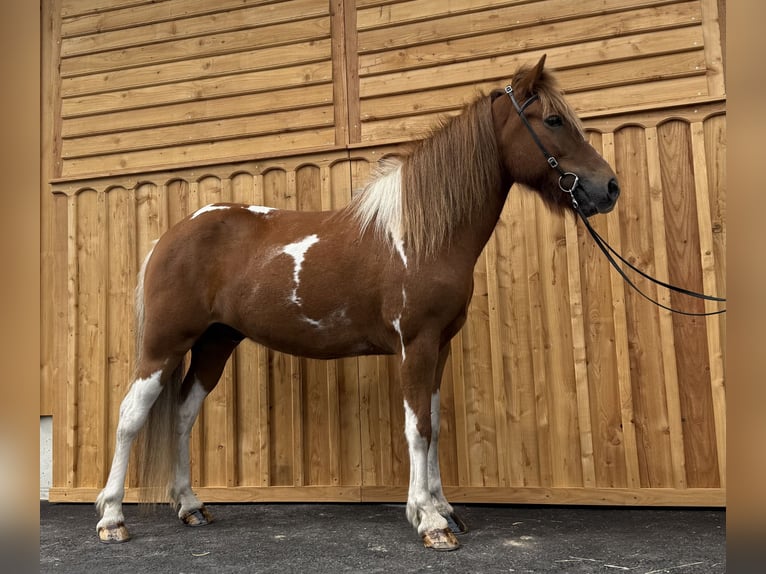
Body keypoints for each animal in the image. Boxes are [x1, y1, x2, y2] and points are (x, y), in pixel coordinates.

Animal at [95, 55, 620, 551]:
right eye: (553, 120)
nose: (609, 187)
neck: (421, 236)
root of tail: (174, 233)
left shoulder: (440, 347)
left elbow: (434, 425)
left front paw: (444, 509)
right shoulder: (416, 345)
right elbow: (418, 429)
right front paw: (429, 522)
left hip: (214, 343)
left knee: (183, 415)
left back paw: (190, 506)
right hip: (164, 344)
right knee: (129, 417)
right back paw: (112, 518)